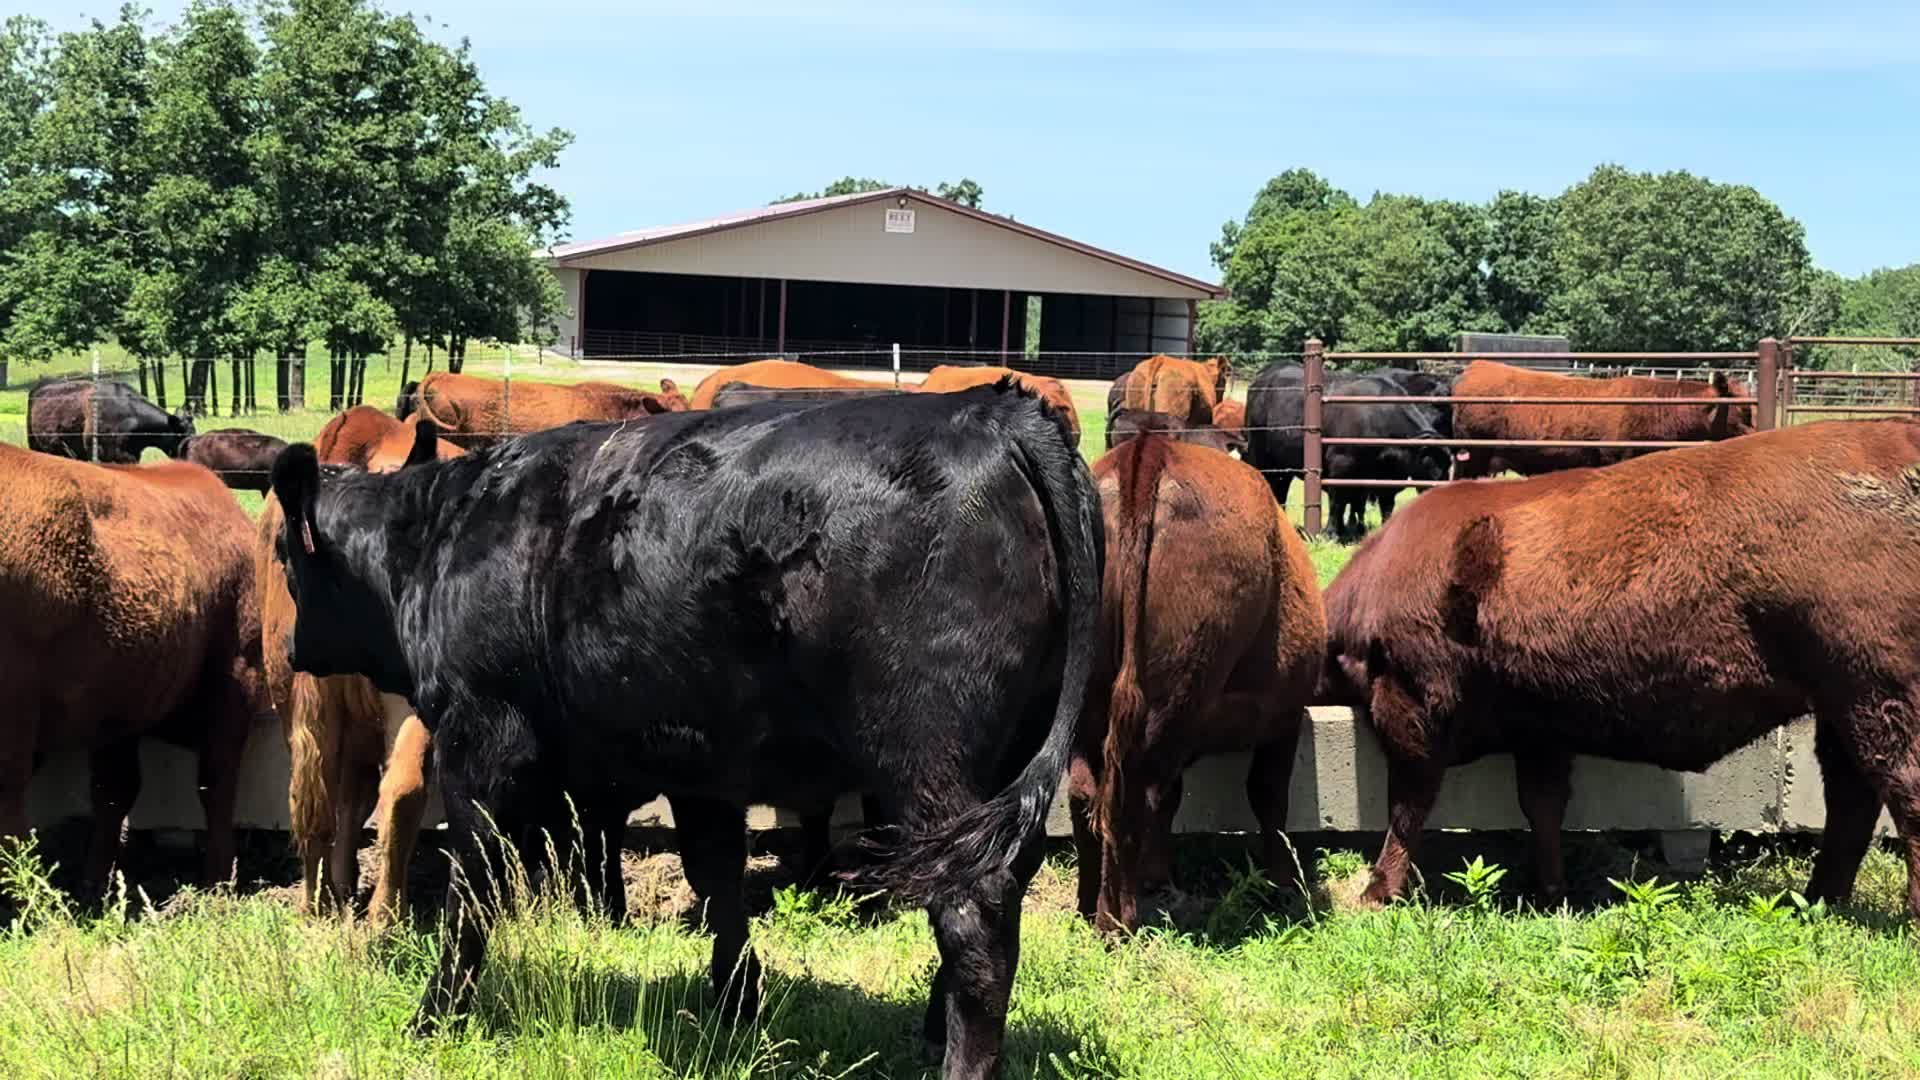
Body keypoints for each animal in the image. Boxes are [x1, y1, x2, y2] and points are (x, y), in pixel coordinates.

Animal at [0, 445, 267, 893]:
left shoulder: (119, 700)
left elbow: (114, 789)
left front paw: (96, 883)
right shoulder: (236, 672)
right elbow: (217, 779)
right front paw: (218, 877)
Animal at [1071, 435, 1324, 933]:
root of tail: (1149, 450)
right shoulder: (1284, 718)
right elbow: (1269, 798)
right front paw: (1284, 886)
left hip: (1091, 704)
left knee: (1090, 791)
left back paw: (1090, 907)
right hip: (1175, 699)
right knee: (1135, 793)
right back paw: (1119, 920)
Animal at [1244, 364, 1450, 542]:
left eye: (1448, 466)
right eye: (1430, 465)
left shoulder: (1385, 477)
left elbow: (1382, 504)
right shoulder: (1341, 466)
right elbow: (1338, 502)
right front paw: (1331, 533)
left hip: (1282, 464)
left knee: (1280, 490)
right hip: (1258, 454)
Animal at [1322, 419, 1920, 917]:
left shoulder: (1412, 703)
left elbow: (1409, 802)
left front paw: (1378, 890)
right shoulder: (1539, 725)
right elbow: (1542, 805)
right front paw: (1551, 890)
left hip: (1876, 694)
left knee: (1900, 788)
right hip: (1841, 704)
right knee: (1852, 795)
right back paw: (1820, 900)